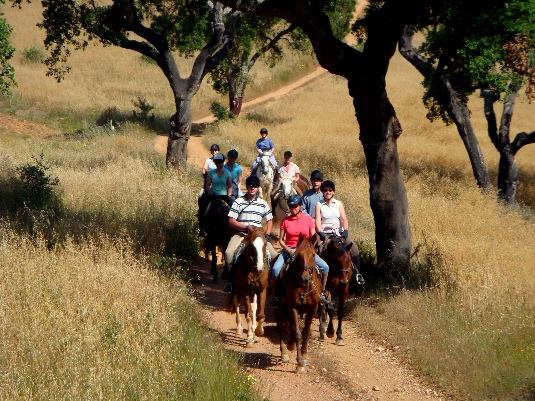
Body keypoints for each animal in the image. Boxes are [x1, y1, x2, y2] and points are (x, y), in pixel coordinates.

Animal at [274, 234, 320, 372]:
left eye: (314, 255)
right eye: (299, 255)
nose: (305, 279)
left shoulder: (312, 309)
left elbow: (305, 332)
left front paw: (304, 356)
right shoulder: (293, 307)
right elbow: (297, 333)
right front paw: (299, 363)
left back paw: (291, 345)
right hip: (280, 306)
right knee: (281, 326)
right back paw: (284, 352)